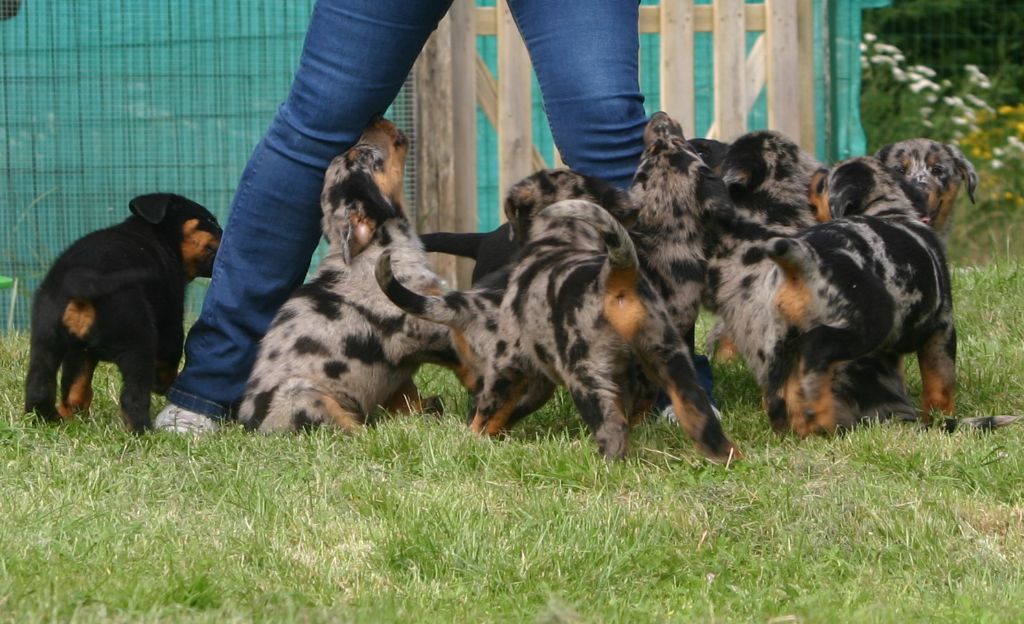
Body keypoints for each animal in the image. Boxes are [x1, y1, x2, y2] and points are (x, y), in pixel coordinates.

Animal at [24, 192, 222, 430]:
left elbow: (77, 386)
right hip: (138, 340)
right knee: (133, 396)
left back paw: (50, 420)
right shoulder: (171, 320)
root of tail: (83, 280)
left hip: (46, 338)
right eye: (211, 221)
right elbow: (170, 358)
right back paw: (143, 430)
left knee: (40, 386)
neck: (160, 238)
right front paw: (165, 386)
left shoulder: (79, 352)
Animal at [235, 116, 460, 430]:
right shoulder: (422, 324)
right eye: (365, 156)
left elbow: (406, 393)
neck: (378, 246)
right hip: (304, 396)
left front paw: (418, 413)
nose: (374, 118)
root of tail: (254, 426)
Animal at [376, 199, 737, 463]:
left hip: (583, 374)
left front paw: (470, 441)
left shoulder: (508, 371)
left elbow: (487, 414)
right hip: (671, 360)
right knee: (697, 413)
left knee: (612, 427)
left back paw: (607, 466)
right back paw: (726, 456)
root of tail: (614, 274)